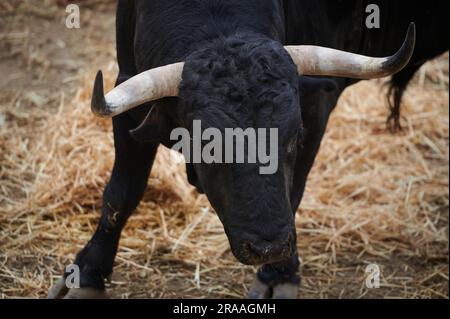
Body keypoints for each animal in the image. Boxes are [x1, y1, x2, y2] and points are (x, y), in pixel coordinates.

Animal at [47, 0, 448, 300]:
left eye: (293, 137)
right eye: (208, 144)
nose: (267, 248)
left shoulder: (316, 106)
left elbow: (294, 192)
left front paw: (278, 275)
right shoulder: (126, 95)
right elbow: (122, 193)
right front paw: (87, 275)